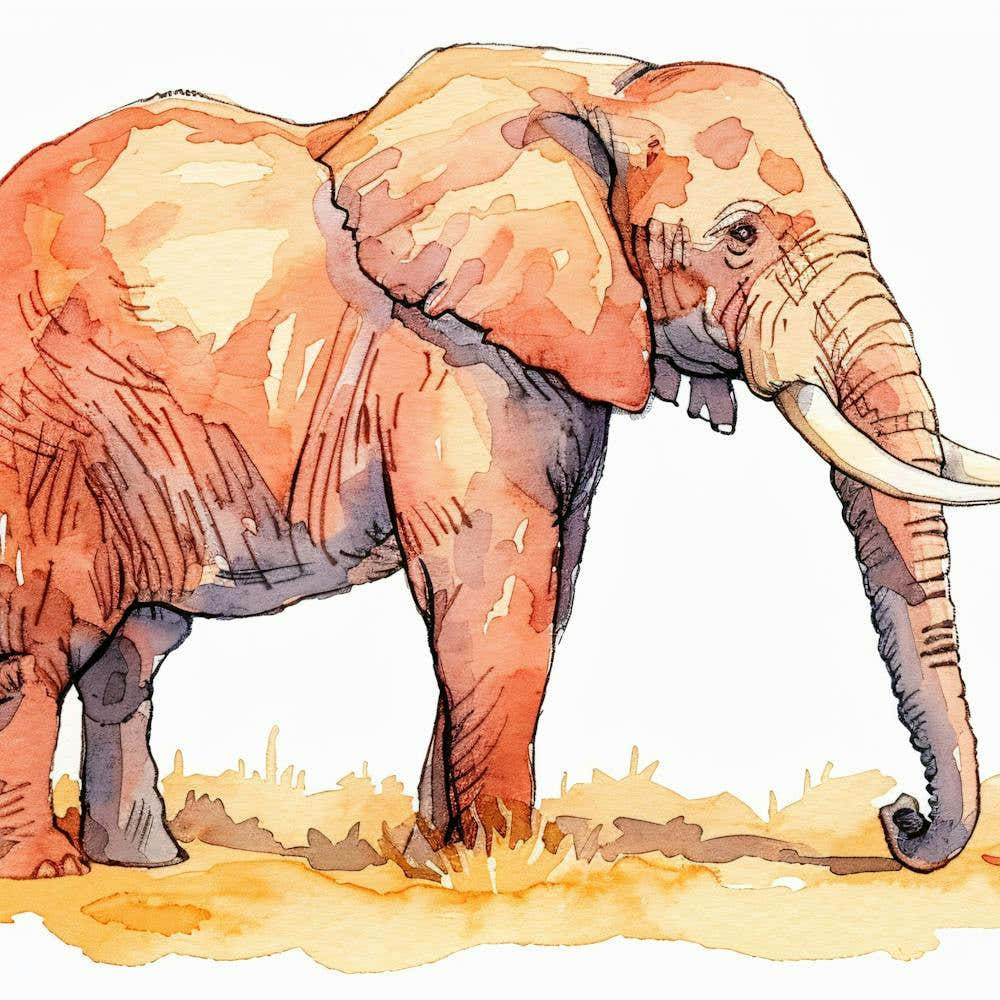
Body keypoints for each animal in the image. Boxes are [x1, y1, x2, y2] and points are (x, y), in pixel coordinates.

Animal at [2, 44, 999, 880]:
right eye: (742, 236)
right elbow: (495, 584)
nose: (898, 819)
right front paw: (504, 869)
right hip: (44, 434)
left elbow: (545, 584)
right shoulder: (445, 353)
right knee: (40, 640)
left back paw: (148, 864)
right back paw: (47, 873)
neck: (600, 91)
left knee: (131, 654)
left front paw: (437, 861)